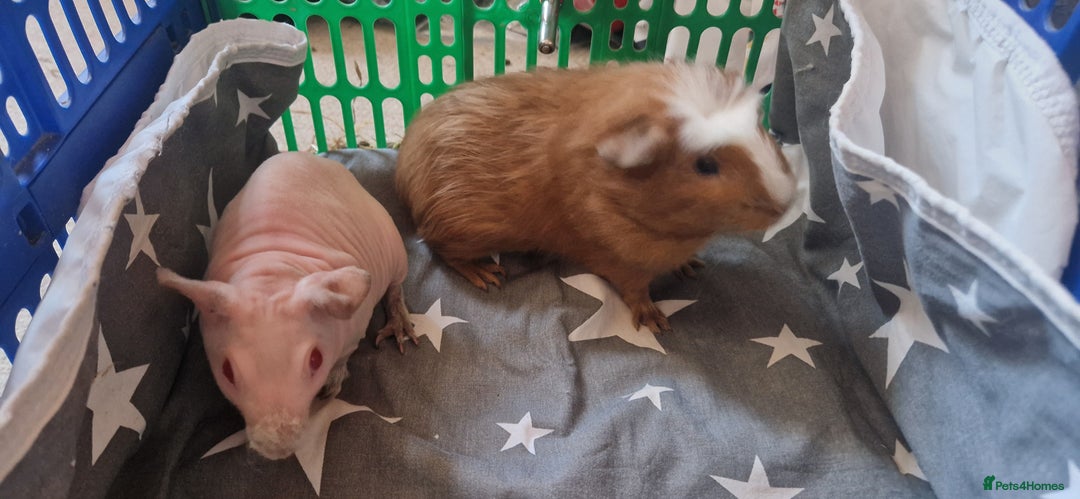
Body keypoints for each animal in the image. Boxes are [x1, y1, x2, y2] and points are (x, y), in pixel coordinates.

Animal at [157, 151, 416, 460]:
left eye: (315, 360)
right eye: (227, 372)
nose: (278, 448)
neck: (271, 268)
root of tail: (311, 156)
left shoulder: (355, 325)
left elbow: (346, 351)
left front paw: (334, 378)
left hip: (391, 241)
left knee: (396, 285)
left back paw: (398, 321)